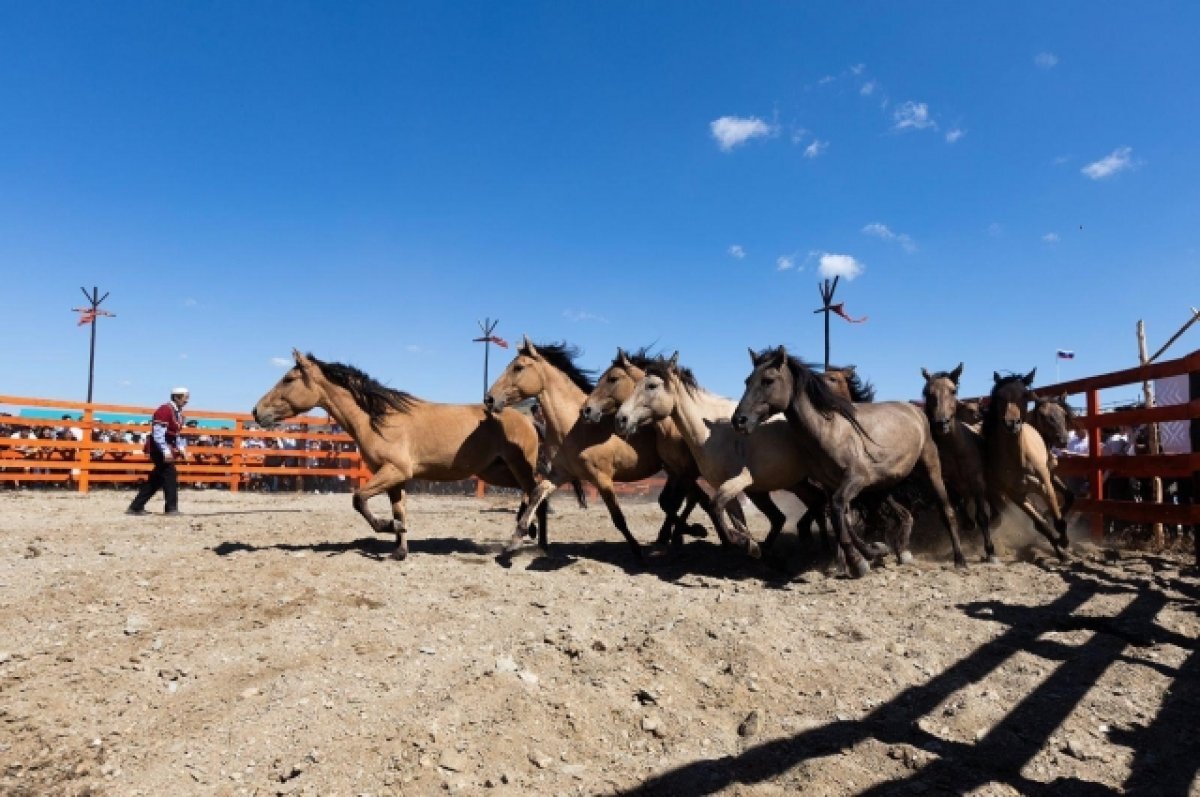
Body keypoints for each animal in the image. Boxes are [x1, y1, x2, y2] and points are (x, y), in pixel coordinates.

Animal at [253, 352, 544, 564]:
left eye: (288, 379)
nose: (257, 411)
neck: (379, 418)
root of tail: (526, 418)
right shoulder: (395, 478)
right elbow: (400, 510)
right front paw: (399, 547)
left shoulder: (395, 471)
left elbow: (358, 499)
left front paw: (388, 526)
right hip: (496, 471)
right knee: (534, 493)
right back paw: (533, 537)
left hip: (516, 467)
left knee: (538, 489)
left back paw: (519, 541)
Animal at [487, 338, 672, 559]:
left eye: (518, 367)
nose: (489, 398)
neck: (573, 429)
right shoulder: (560, 474)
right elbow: (537, 493)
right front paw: (516, 538)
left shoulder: (602, 478)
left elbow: (618, 517)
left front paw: (637, 552)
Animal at [916, 364, 993, 556]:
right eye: (927, 392)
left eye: (953, 390)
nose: (941, 423)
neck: (955, 449)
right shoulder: (944, 481)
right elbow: (951, 512)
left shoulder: (977, 479)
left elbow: (982, 515)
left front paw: (990, 550)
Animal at [984, 369, 1070, 556]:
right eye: (999, 396)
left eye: (1064, 414)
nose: (1012, 423)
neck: (1019, 459)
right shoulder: (1016, 495)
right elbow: (1041, 524)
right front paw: (1060, 547)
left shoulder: (1047, 482)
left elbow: (1063, 507)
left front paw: (1062, 541)